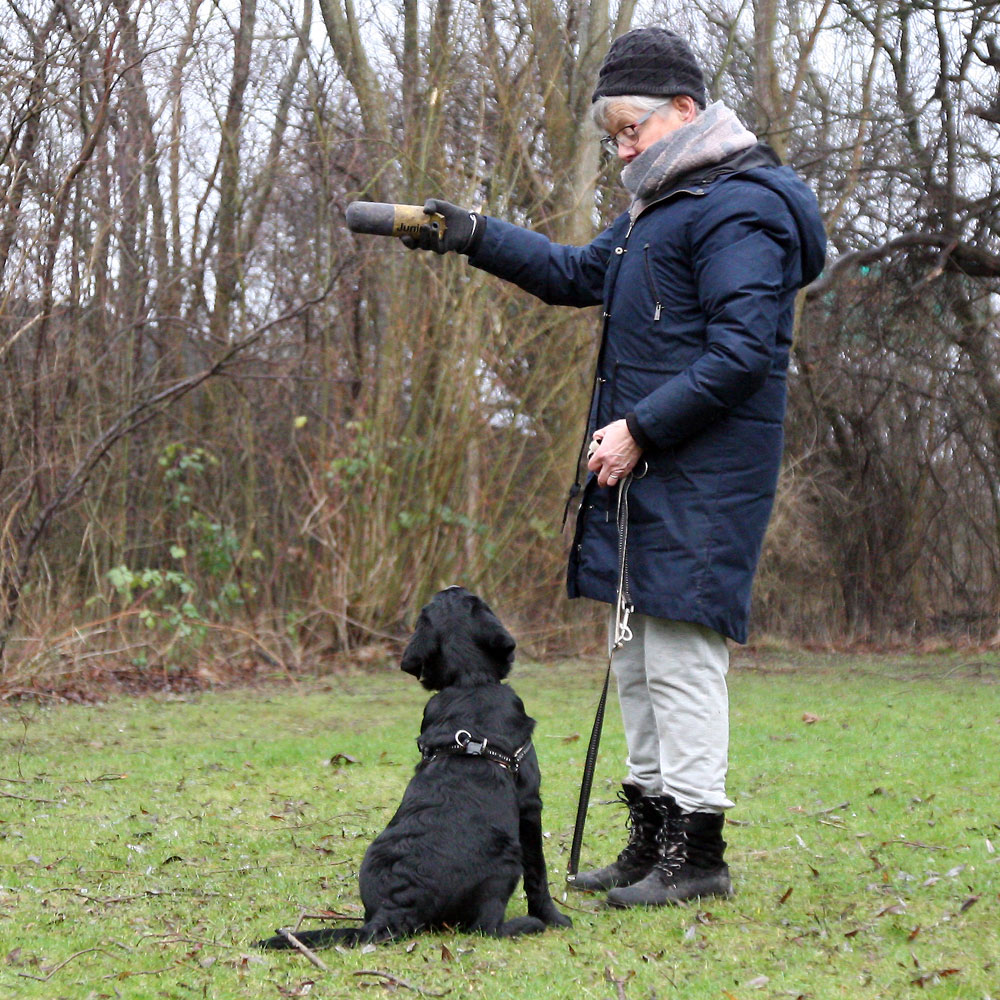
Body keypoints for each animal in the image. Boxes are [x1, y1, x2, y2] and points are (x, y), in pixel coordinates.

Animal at [258, 584, 572, 948]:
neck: (470, 681)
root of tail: (397, 907)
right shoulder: (530, 803)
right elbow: (539, 873)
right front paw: (553, 918)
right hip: (507, 861)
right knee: (486, 926)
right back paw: (526, 925)